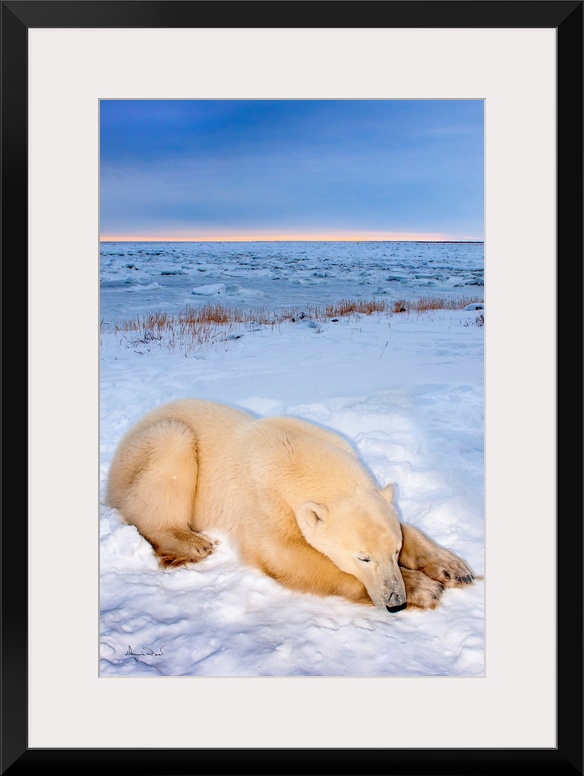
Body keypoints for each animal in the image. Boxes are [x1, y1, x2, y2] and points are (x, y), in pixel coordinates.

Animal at [106, 399, 476, 613]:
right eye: (362, 558)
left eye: (395, 551)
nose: (395, 603)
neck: (295, 453)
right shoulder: (262, 500)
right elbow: (285, 555)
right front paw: (424, 588)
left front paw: (454, 568)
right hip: (149, 448)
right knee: (170, 449)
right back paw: (190, 542)